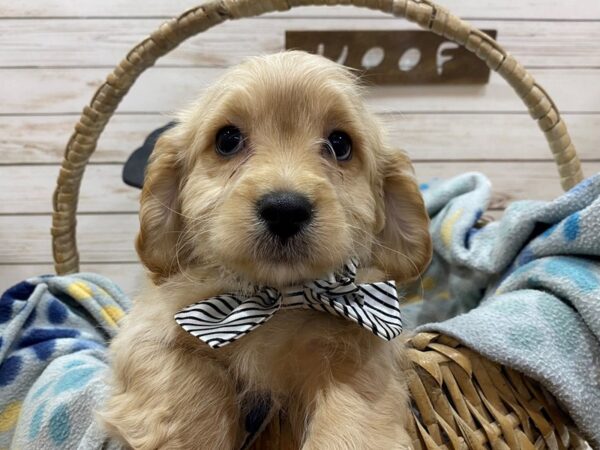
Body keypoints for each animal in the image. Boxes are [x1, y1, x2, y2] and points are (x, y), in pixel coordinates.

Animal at [102, 50, 432, 450]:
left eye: (340, 144)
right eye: (227, 140)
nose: (285, 209)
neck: (276, 301)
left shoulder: (368, 344)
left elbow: (355, 408)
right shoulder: (147, 332)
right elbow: (189, 386)